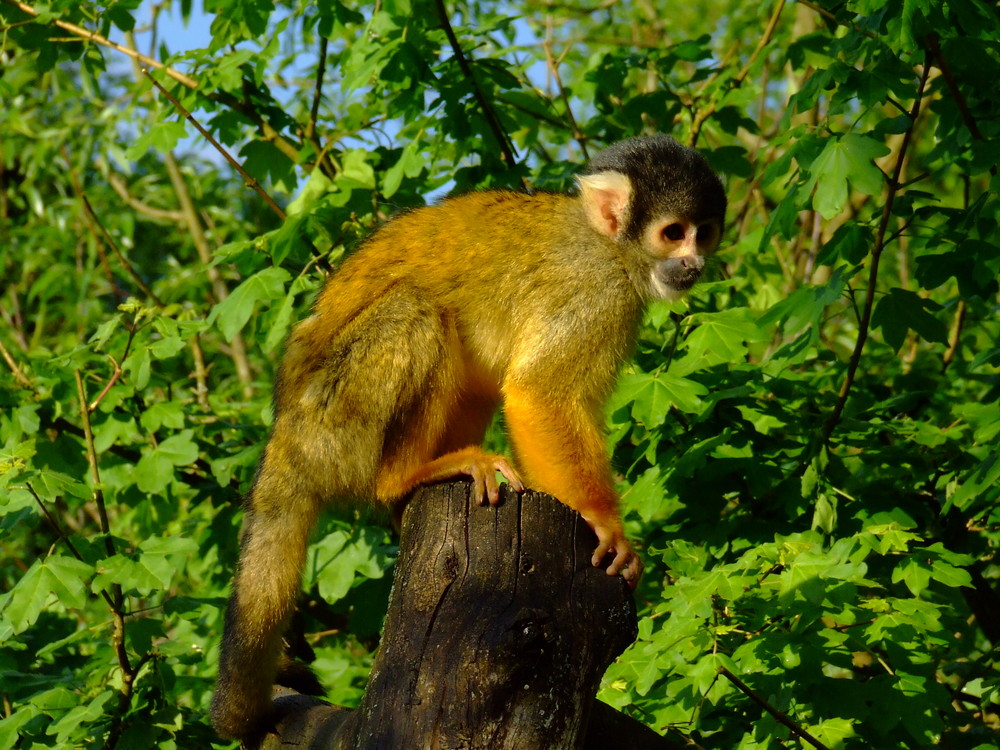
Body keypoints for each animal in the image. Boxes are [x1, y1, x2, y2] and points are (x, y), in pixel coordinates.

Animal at [211, 137, 728, 748]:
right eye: (673, 233)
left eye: (704, 232)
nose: (693, 264)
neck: (609, 246)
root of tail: (285, 433)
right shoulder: (595, 290)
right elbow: (540, 393)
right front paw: (606, 525)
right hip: (334, 421)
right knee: (415, 311)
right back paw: (408, 474)